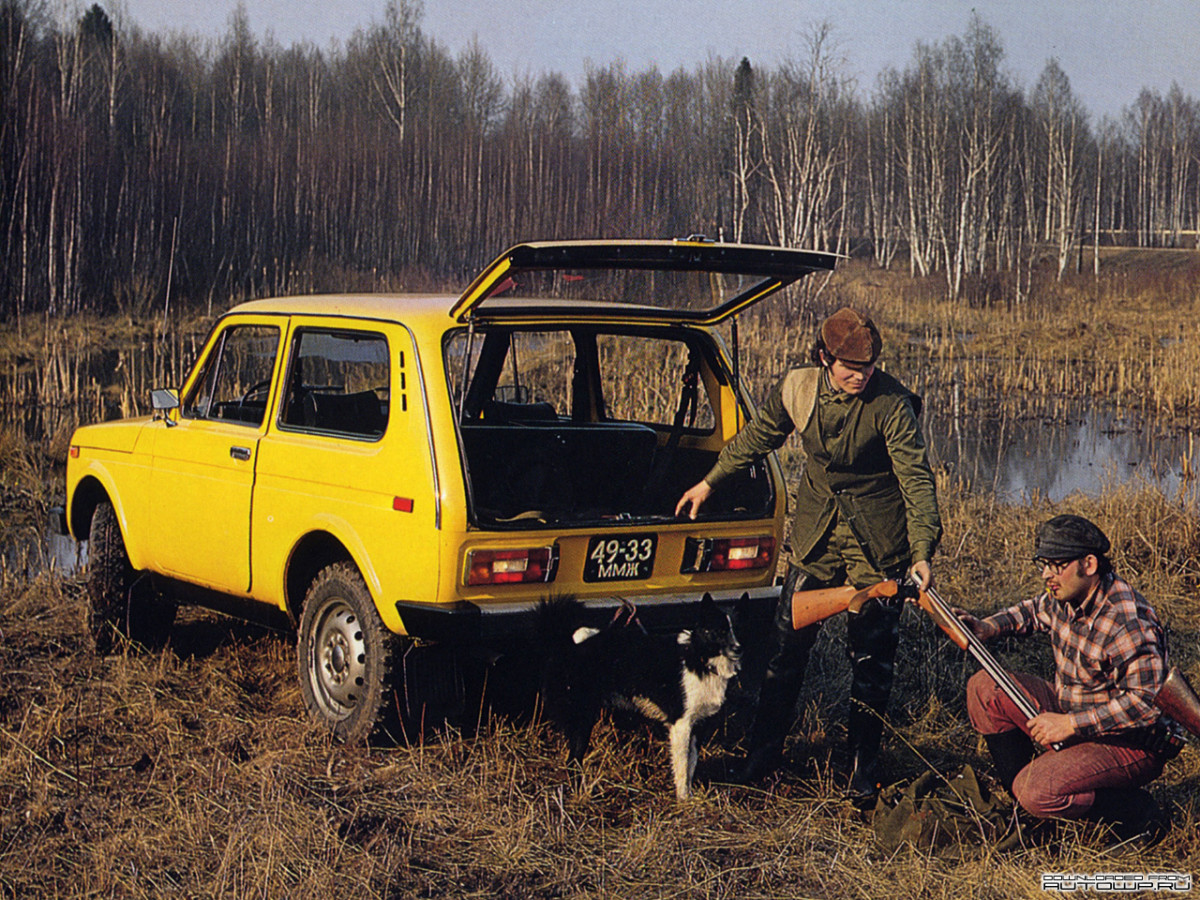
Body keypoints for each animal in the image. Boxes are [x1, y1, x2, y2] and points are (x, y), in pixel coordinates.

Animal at [535, 595, 739, 801]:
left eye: (738, 628)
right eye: (720, 630)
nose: (738, 649)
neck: (700, 657)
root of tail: (565, 646)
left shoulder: (698, 724)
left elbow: (691, 764)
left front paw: (689, 796)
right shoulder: (681, 725)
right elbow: (682, 767)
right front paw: (683, 800)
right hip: (581, 721)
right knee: (572, 761)